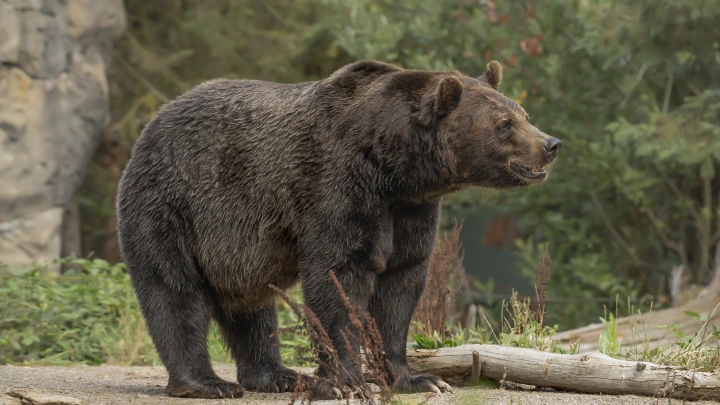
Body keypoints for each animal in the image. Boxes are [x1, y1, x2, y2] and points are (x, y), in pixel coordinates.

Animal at [116, 60, 561, 400]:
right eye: (504, 123)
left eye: (523, 114)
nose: (551, 144)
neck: (393, 167)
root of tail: (151, 125)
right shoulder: (337, 186)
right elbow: (338, 278)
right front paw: (346, 382)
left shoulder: (410, 211)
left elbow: (401, 284)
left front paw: (418, 379)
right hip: (173, 206)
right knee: (174, 291)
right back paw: (206, 383)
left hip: (236, 249)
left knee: (253, 308)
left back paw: (277, 375)